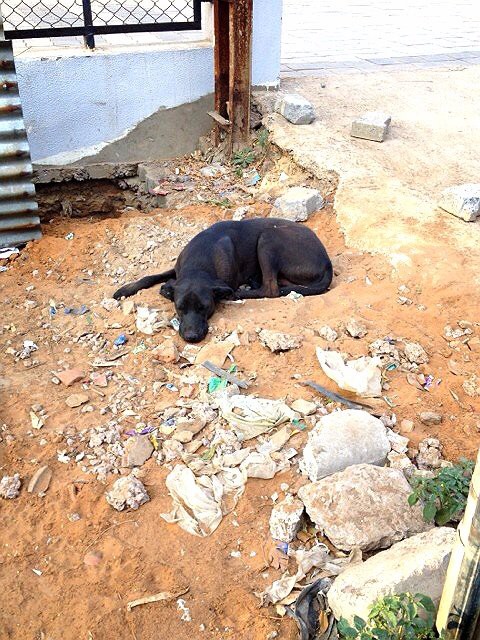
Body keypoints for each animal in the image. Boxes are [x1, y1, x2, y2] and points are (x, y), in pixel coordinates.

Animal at [115, 218, 334, 342]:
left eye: (205, 307)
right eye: (179, 307)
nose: (191, 338)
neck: (200, 264)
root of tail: (327, 261)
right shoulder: (176, 271)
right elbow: (151, 276)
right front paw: (125, 289)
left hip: (268, 237)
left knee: (270, 288)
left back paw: (244, 290)